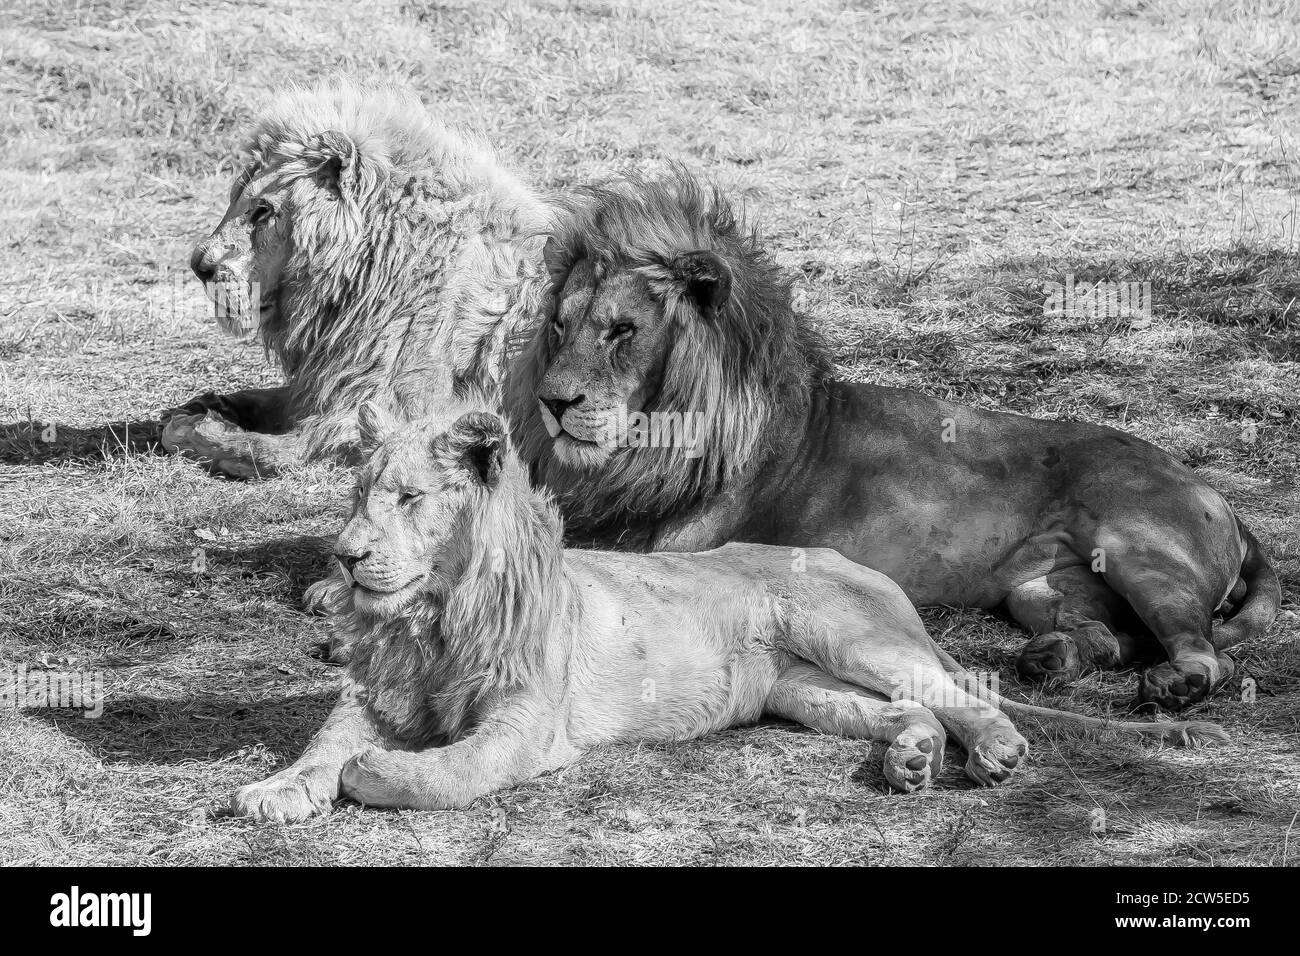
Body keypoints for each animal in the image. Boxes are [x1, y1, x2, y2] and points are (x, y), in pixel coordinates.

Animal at [163, 79, 548, 478]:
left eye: (262, 211)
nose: (199, 265)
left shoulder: (400, 412)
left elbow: (280, 450)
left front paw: (198, 430)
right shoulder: (333, 381)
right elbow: (270, 398)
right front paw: (206, 405)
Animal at [236, 403, 1227, 822]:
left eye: (407, 498)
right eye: (357, 497)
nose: (345, 555)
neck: (431, 615)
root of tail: (851, 563)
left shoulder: (529, 723)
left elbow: (449, 771)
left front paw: (374, 776)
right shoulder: (374, 694)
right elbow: (323, 740)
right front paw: (275, 792)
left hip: (850, 633)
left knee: (965, 694)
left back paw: (997, 753)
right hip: (801, 689)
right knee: (912, 709)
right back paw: (910, 762)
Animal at [504, 167, 1279, 712]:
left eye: (622, 330)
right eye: (559, 326)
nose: (553, 401)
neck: (652, 441)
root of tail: (1216, 494)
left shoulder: (676, 548)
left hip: (1137, 550)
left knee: (1203, 650)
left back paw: (1172, 686)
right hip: (1040, 591)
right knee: (1113, 638)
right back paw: (1050, 659)